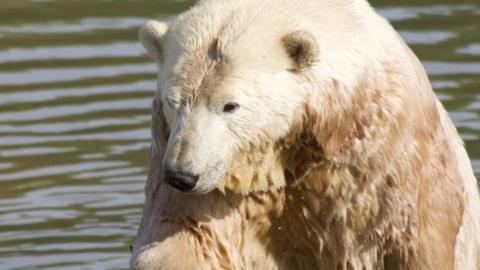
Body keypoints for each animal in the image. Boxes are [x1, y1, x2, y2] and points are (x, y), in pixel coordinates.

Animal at [129, 0, 480, 268]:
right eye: (174, 101)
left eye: (230, 105)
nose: (182, 175)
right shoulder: (207, 171)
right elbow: (186, 236)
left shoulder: (386, 156)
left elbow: (413, 239)